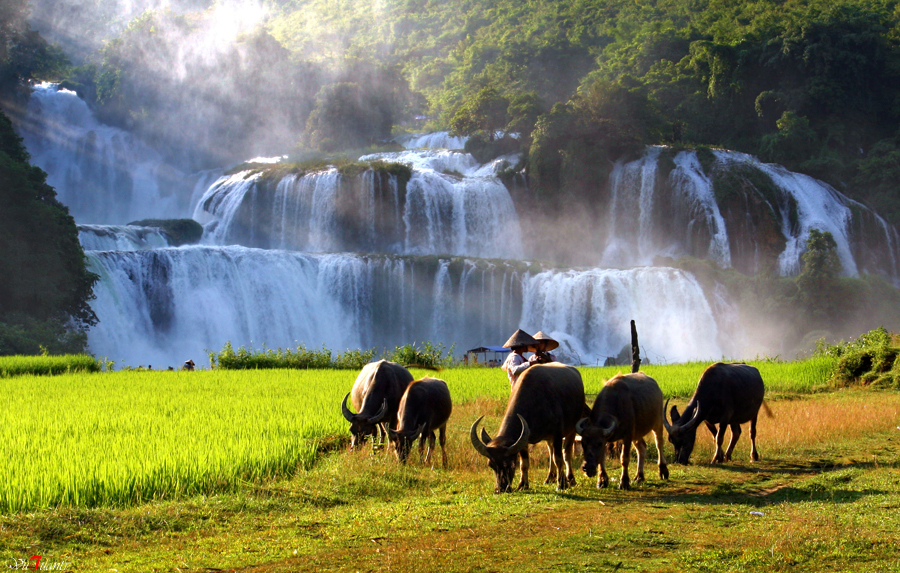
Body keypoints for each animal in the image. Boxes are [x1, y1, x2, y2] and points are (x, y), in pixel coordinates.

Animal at [468, 362, 588, 492]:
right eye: (491, 465)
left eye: (510, 464)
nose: (501, 488)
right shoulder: (524, 439)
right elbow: (524, 463)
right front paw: (523, 485)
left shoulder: (557, 434)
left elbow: (558, 459)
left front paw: (561, 484)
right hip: (549, 438)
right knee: (550, 451)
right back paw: (550, 478)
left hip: (571, 429)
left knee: (566, 453)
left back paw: (570, 479)